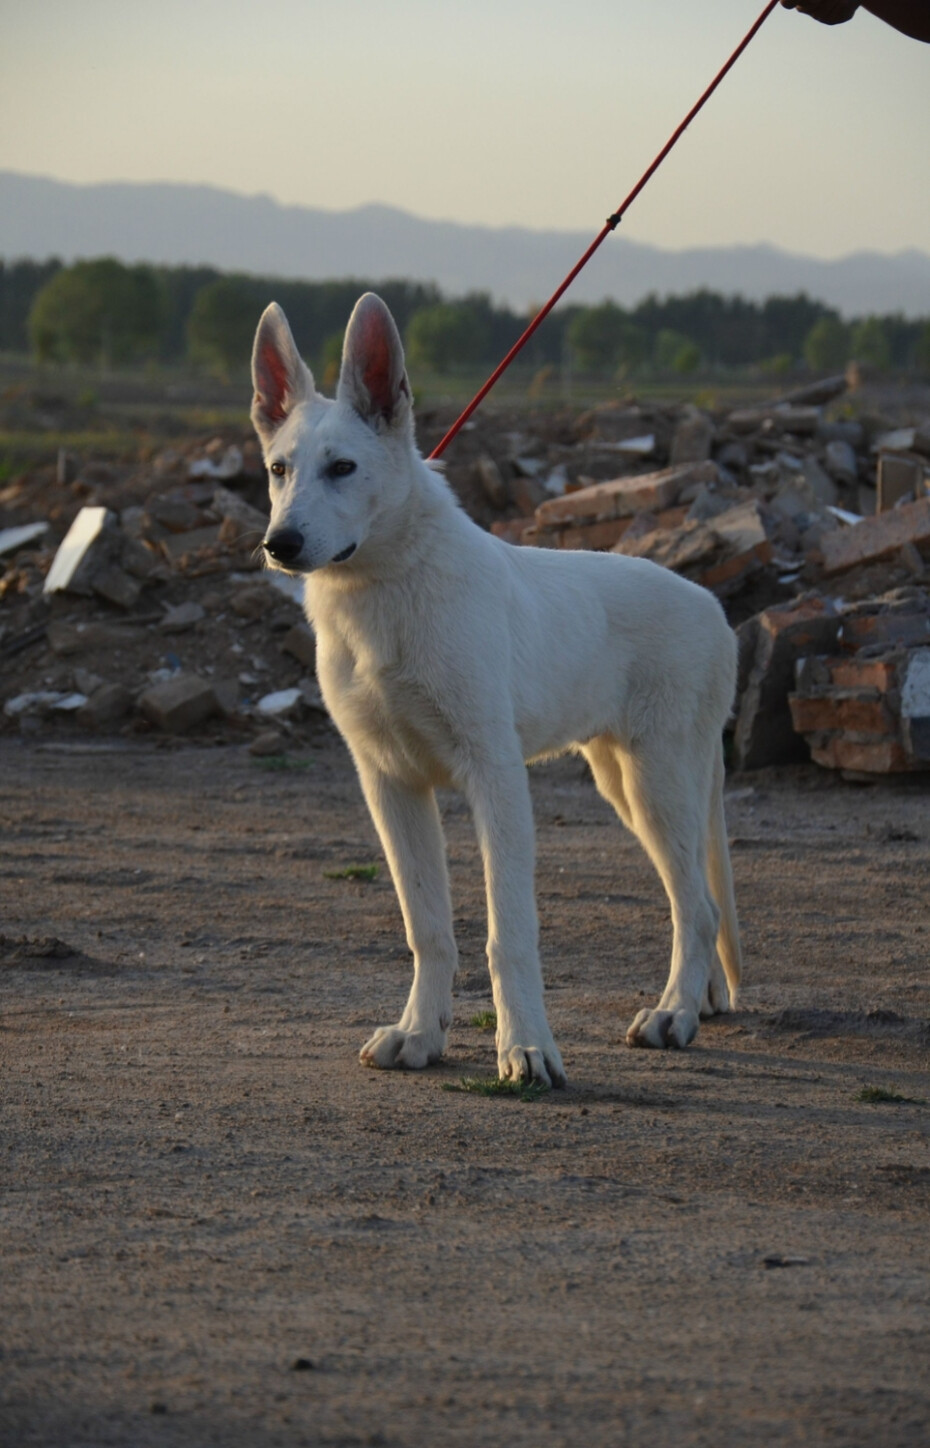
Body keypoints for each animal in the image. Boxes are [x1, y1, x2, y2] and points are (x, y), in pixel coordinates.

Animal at [247, 293, 738, 1088]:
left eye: (344, 468)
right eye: (278, 469)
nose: (279, 545)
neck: (384, 592)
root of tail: (716, 608)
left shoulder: (496, 777)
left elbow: (508, 933)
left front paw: (527, 1047)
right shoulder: (389, 783)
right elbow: (428, 927)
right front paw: (421, 1034)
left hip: (659, 783)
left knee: (695, 908)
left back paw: (673, 1014)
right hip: (625, 784)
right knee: (701, 897)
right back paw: (705, 1000)